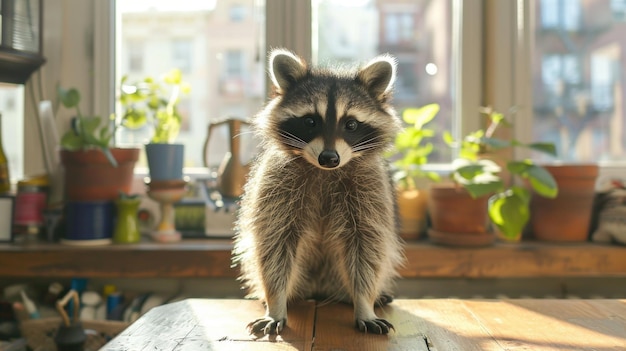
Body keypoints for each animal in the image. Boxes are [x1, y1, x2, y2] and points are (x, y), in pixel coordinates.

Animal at [232, 48, 402, 336]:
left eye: (351, 125)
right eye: (310, 121)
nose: (329, 158)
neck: (326, 172)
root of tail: (318, 290)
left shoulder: (370, 189)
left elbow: (367, 245)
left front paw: (364, 303)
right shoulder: (276, 184)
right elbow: (274, 243)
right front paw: (276, 303)